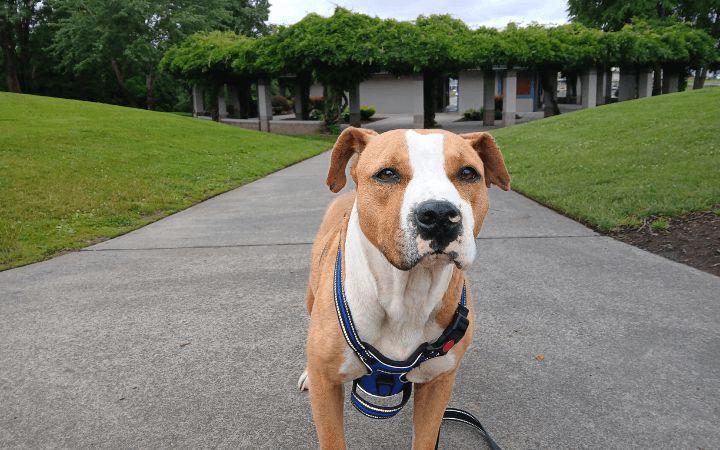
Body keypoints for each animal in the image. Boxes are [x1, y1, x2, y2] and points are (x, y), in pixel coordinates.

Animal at [298, 127, 512, 450]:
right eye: (387, 173)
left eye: (468, 173)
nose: (439, 214)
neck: (407, 293)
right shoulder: (327, 388)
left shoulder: (438, 385)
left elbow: (426, 438)